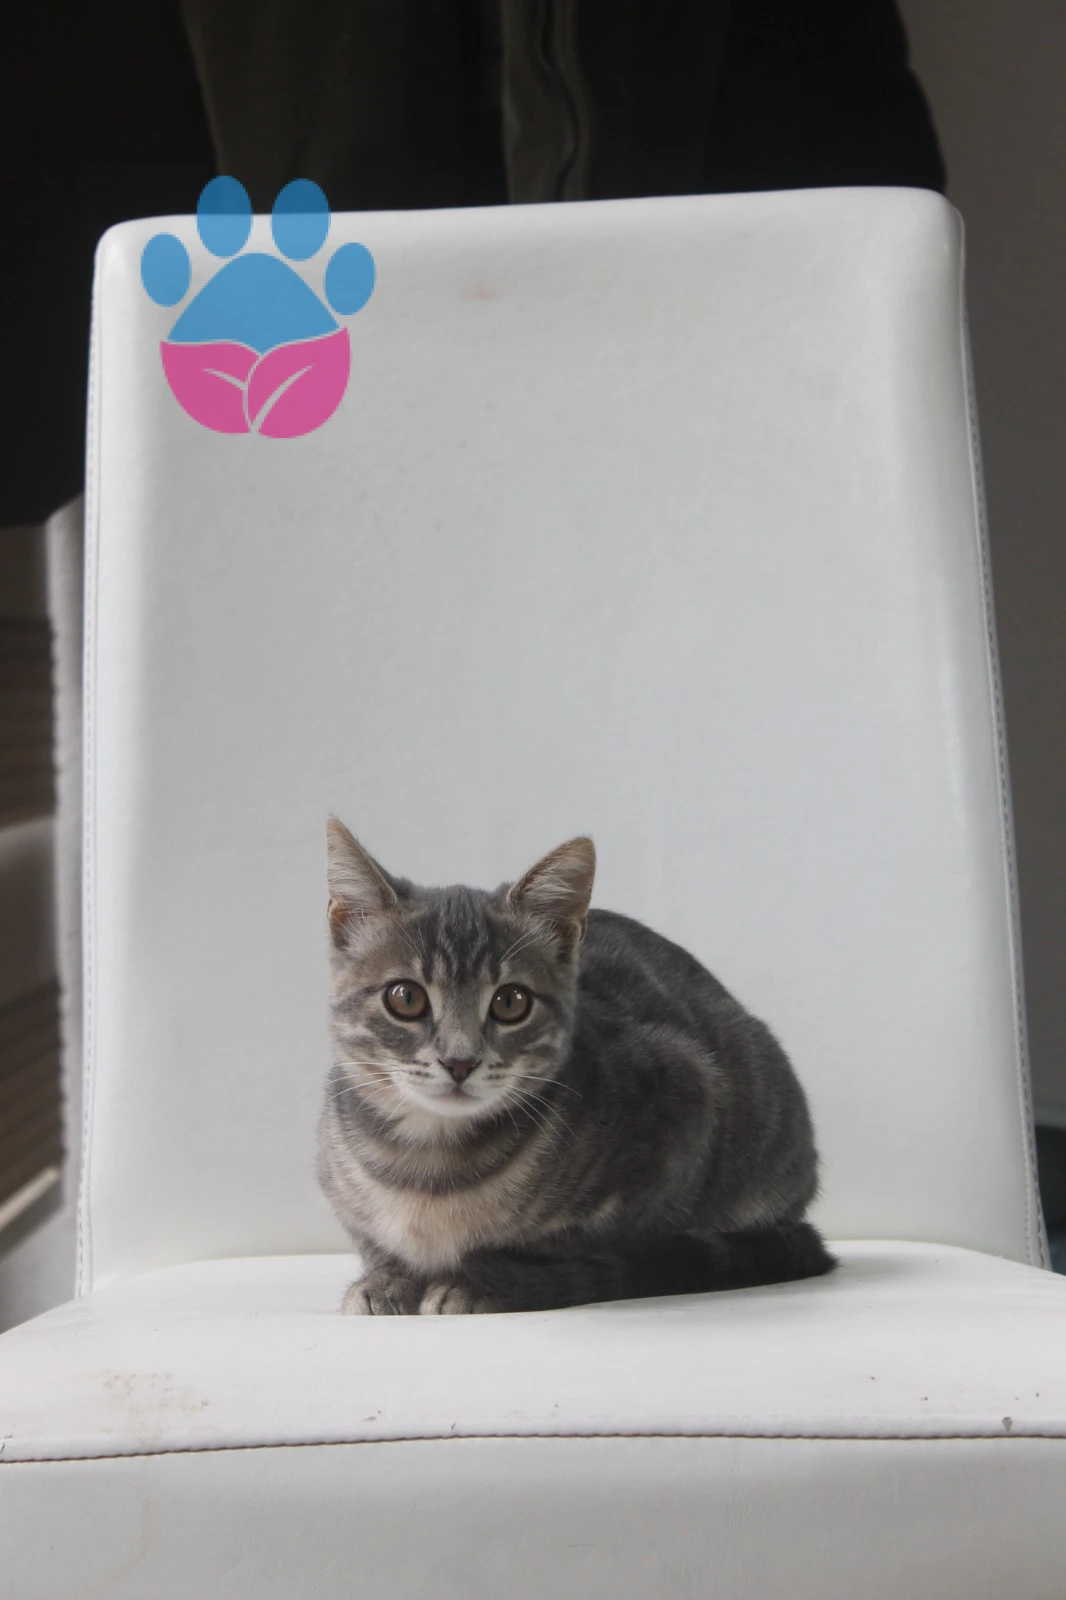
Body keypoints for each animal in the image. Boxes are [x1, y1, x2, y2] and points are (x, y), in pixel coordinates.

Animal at [318, 817, 835, 1314]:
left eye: (511, 1002)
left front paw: (484, 1280)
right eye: (405, 998)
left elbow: (584, 1244)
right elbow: (373, 1241)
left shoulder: (689, 1097)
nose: (459, 1061)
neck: (429, 1166)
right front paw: (388, 1278)